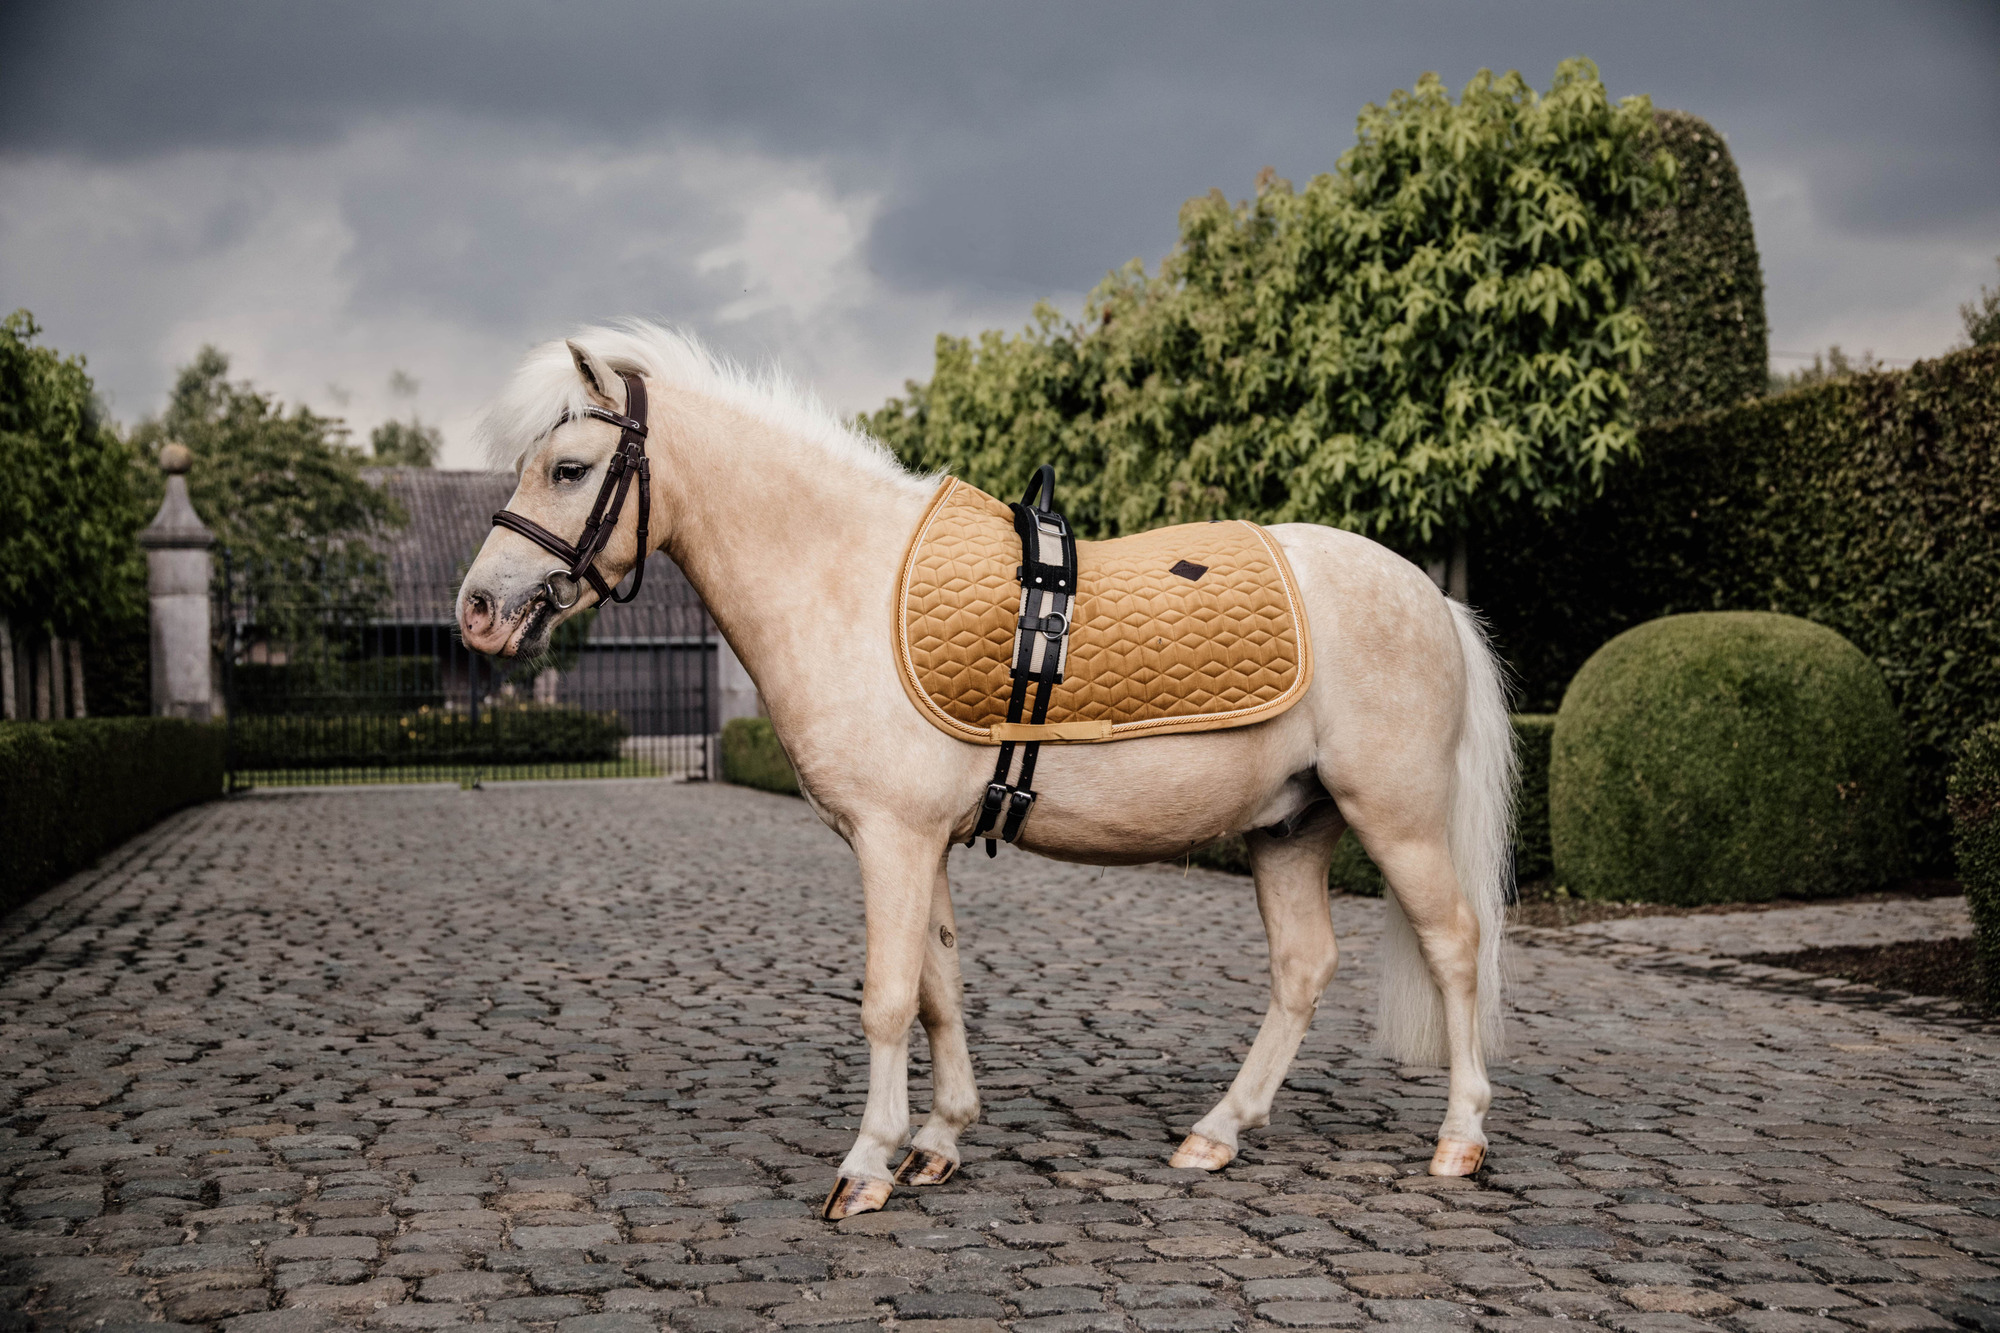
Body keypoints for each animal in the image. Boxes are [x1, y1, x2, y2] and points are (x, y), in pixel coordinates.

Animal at [456, 321, 1515, 1220]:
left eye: (568, 467)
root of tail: (1429, 596)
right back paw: (1216, 1133)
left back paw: (1458, 1138)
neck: (846, 581)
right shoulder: (919, 841)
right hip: (1289, 827)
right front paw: (937, 1141)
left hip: (1396, 816)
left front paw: (866, 1166)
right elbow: (938, 988)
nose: (477, 610)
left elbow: (887, 997)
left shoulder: (892, 838)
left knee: (1455, 944)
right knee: (1303, 969)